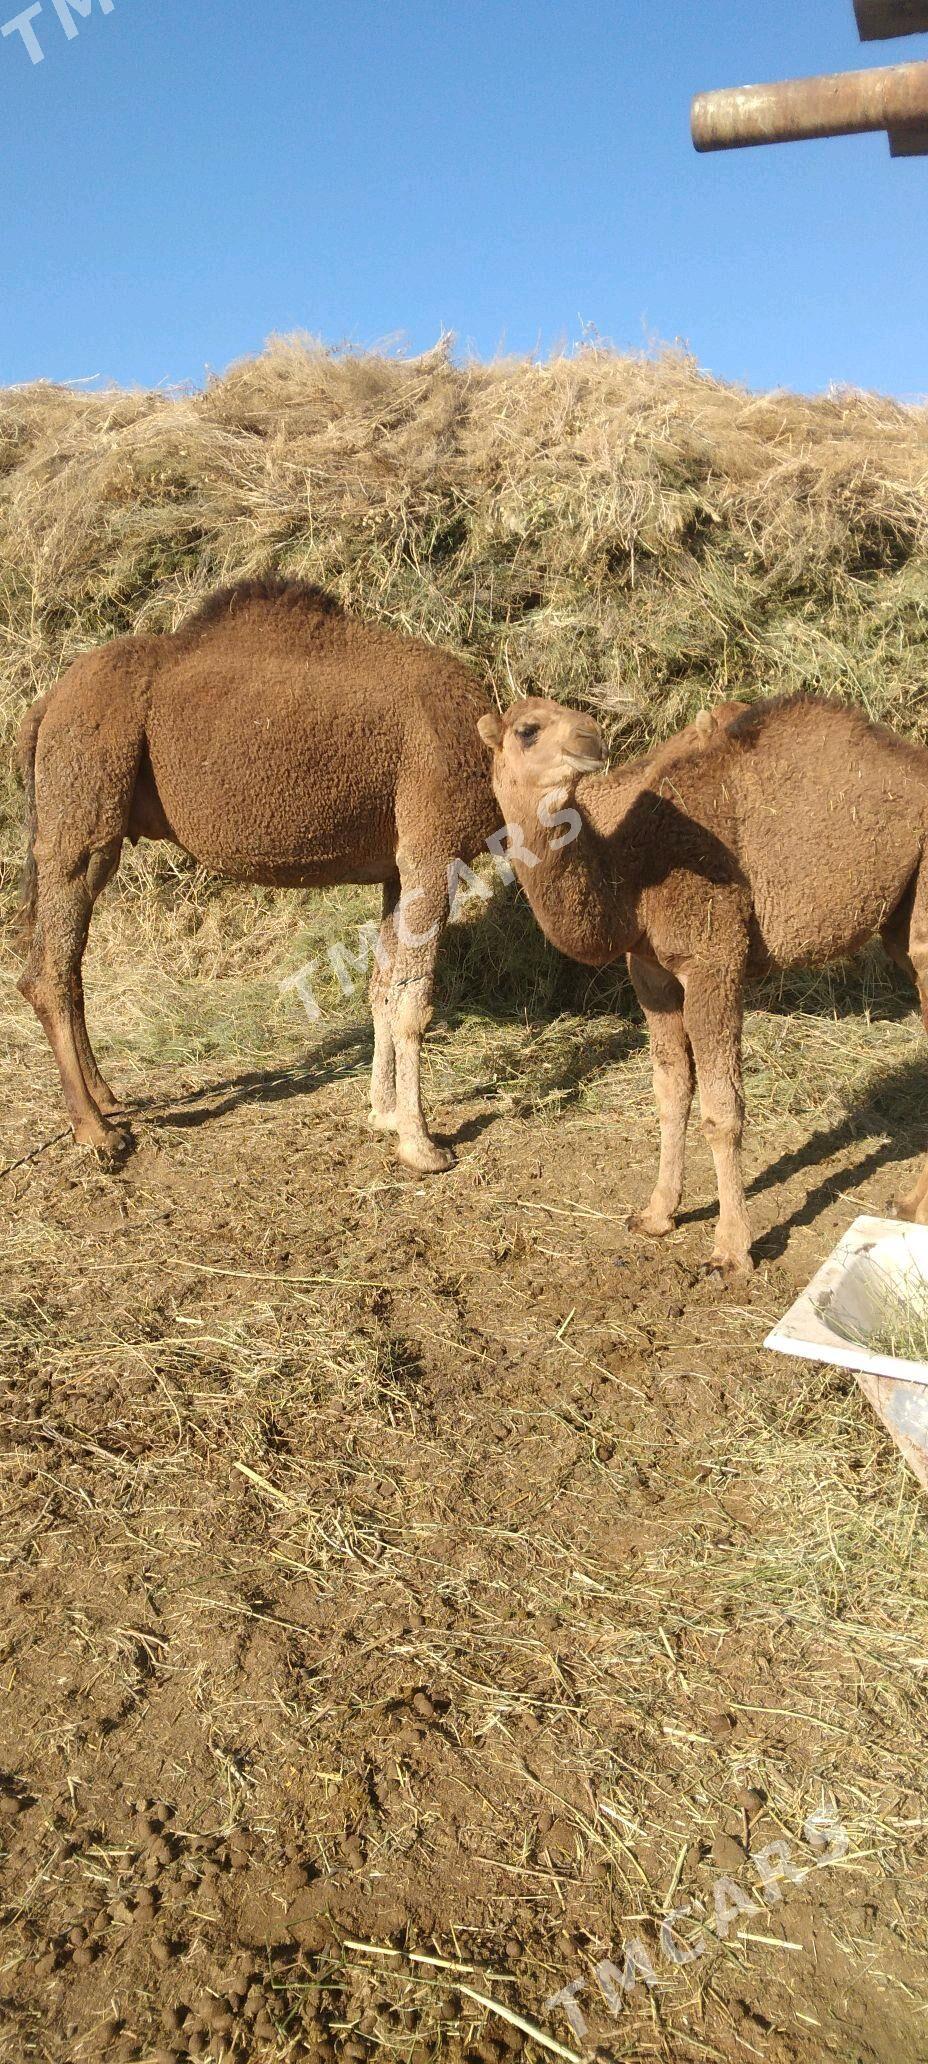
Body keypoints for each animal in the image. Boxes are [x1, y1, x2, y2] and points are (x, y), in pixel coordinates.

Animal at [478, 693, 928, 1271]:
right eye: (528, 730)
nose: (591, 737)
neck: (631, 868)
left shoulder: (714, 958)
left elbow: (722, 1110)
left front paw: (732, 1249)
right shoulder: (649, 970)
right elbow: (671, 1092)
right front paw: (656, 1215)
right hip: (901, 919)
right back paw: (906, 1205)